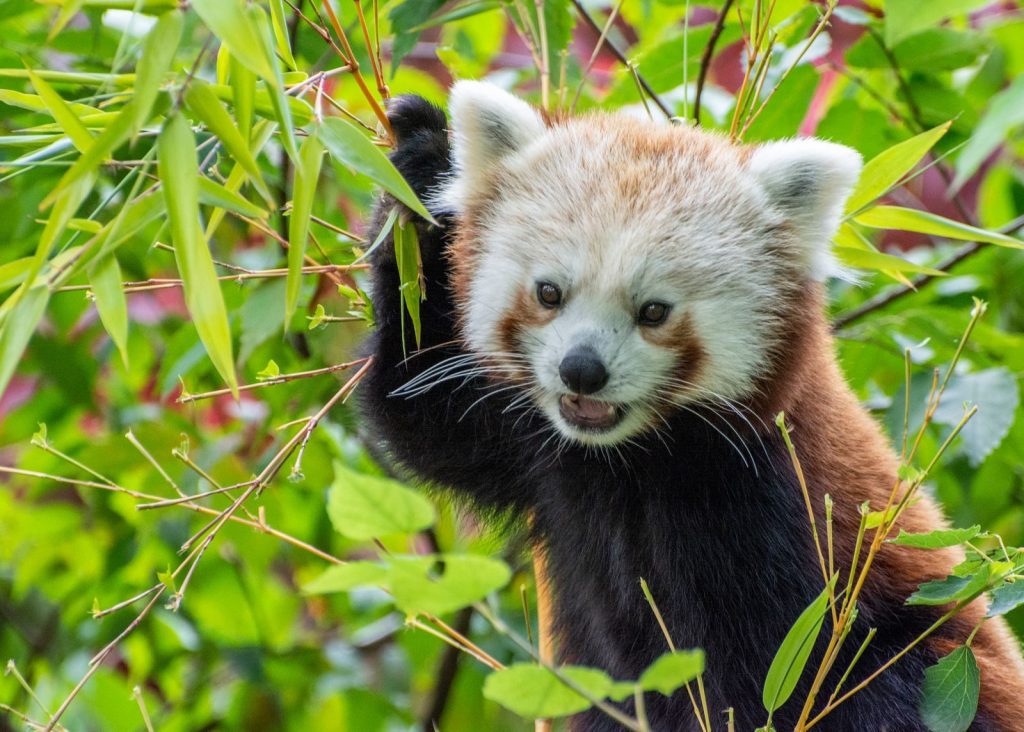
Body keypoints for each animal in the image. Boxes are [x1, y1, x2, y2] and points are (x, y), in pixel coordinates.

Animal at [359, 81, 1024, 730]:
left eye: (653, 310)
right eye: (549, 293)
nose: (582, 370)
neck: (629, 463)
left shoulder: (788, 518)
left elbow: (770, 674)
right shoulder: (530, 451)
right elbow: (418, 415)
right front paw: (418, 170)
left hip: (941, 663)